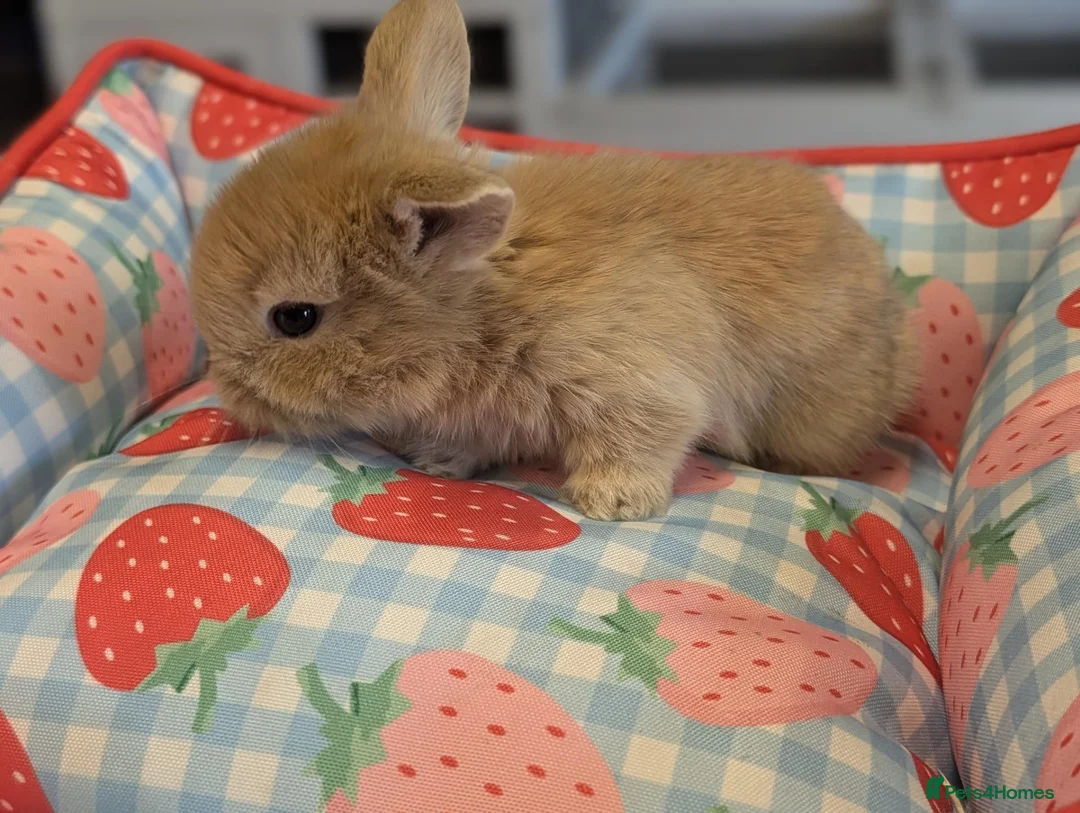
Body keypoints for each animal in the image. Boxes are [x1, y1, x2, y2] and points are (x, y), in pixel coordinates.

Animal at [191, 0, 919, 521]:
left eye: (295, 318)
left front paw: (611, 502)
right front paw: (437, 463)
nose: (228, 391)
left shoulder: (631, 383)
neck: (479, 307)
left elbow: (648, 433)